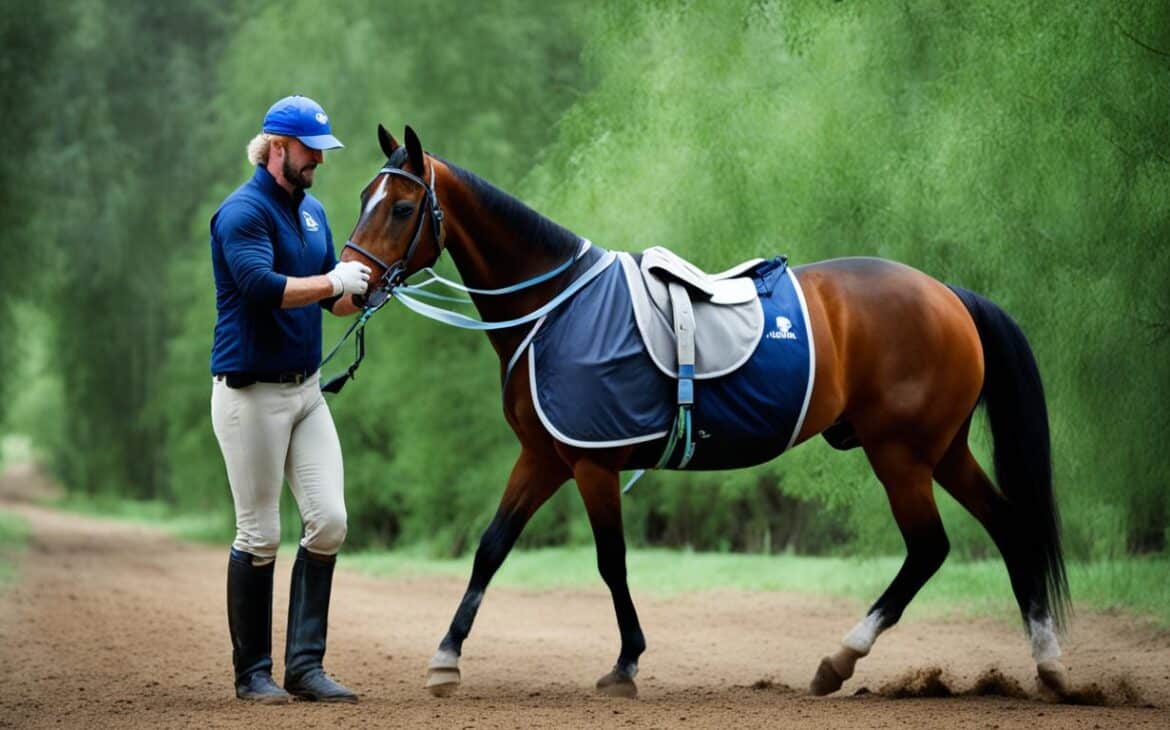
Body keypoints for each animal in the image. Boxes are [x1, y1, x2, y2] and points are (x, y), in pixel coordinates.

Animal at [336, 126, 1071, 701]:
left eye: (402, 207)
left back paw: (840, 659)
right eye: (364, 198)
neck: (557, 309)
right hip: (942, 451)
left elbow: (611, 561)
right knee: (1010, 528)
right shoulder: (543, 457)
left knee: (929, 548)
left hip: (901, 455)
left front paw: (626, 663)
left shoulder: (593, 464)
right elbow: (491, 548)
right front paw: (445, 659)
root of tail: (946, 293)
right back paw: (1048, 665)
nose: (350, 285)